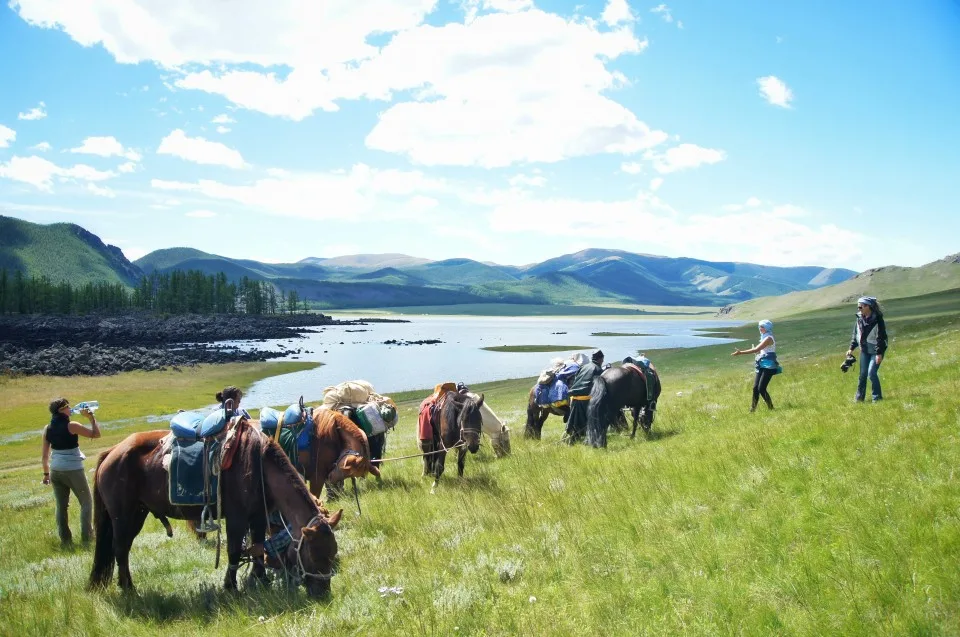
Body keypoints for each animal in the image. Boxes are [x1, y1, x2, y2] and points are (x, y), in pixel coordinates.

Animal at [88, 422, 344, 596]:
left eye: (332, 553)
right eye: (314, 554)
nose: (322, 592)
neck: (259, 465)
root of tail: (112, 452)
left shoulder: (258, 516)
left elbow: (258, 547)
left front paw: (259, 580)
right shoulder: (237, 517)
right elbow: (234, 551)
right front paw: (231, 587)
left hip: (137, 514)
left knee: (122, 549)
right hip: (123, 516)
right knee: (120, 549)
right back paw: (129, 589)